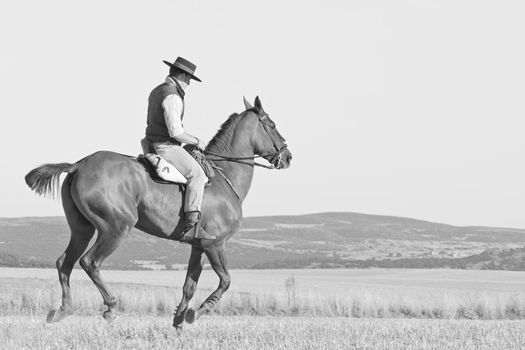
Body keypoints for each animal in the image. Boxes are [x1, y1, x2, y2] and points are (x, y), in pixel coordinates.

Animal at [23, 96, 290, 328]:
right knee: (90, 262)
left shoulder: (198, 246)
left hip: (82, 229)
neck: (225, 175)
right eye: (272, 125)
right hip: (116, 228)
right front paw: (197, 312)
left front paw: (179, 321)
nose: (288, 156)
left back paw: (63, 310)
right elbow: (225, 280)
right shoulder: (215, 244)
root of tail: (79, 164)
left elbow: (189, 286)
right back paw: (111, 308)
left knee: (64, 263)